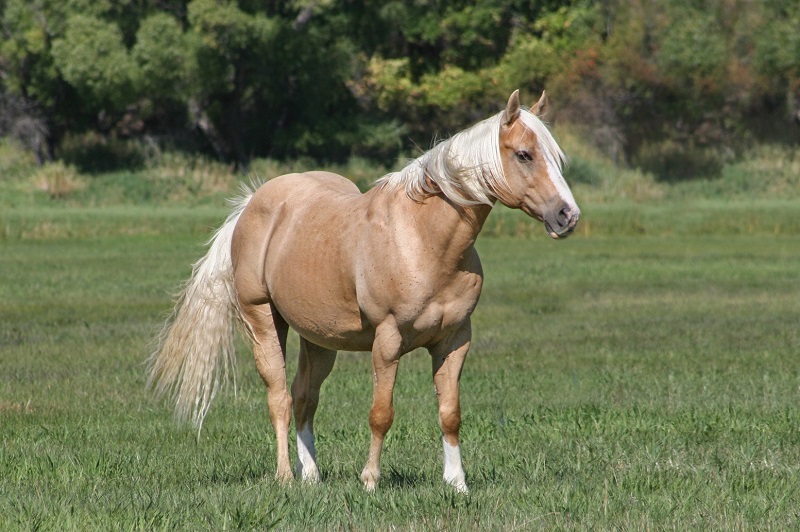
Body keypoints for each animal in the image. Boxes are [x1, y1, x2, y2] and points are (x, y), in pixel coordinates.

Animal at [147, 90, 580, 493]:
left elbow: (450, 412)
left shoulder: (455, 340)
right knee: (280, 398)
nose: (568, 216)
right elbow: (381, 413)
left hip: (318, 339)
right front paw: (370, 479)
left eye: (556, 157)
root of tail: (254, 202)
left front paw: (457, 482)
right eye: (524, 154)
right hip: (263, 321)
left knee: (304, 397)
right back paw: (286, 476)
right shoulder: (387, 341)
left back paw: (311, 475)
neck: (423, 240)